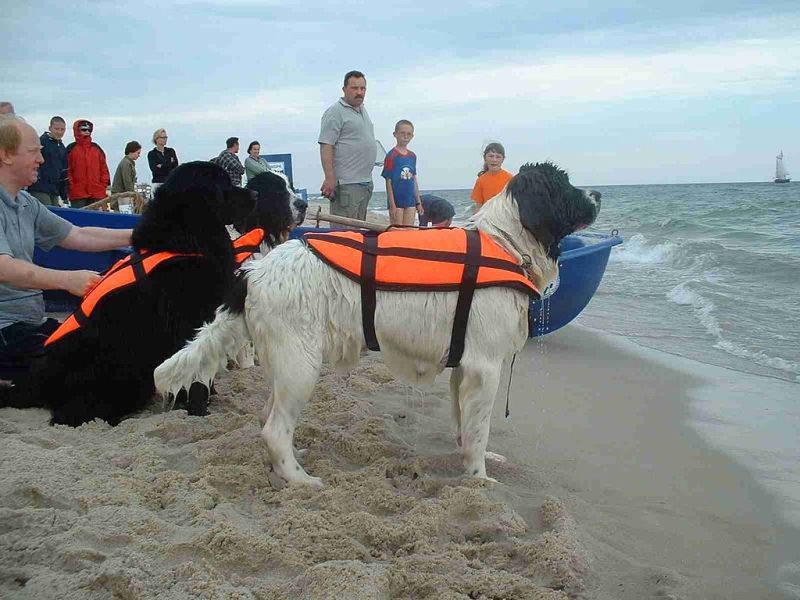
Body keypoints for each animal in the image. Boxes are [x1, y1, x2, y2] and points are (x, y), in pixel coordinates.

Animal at [6, 161, 256, 426]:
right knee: (69, 416)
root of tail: (36, 381)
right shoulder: (190, 322)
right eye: (225, 185)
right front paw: (198, 409)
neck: (187, 240)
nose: (255, 193)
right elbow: (196, 373)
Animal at [155, 162, 600, 486]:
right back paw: (301, 480)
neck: (504, 242)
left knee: (267, 417)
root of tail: (255, 271)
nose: (597, 193)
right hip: (300, 367)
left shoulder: (466, 368)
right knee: (275, 430)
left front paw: (474, 460)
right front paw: (480, 480)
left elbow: (465, 425)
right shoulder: (485, 368)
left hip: (285, 367)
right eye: (566, 185)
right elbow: (479, 430)